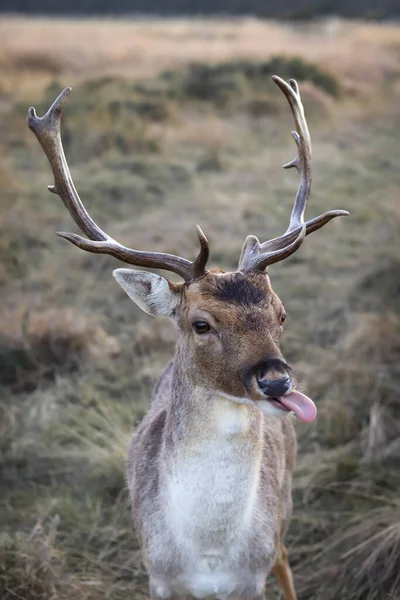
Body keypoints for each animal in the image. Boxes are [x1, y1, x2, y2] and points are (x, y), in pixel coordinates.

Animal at [27, 76, 346, 600]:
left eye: (281, 314)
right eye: (201, 323)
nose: (277, 381)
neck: (208, 555)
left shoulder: (251, 579)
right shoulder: (157, 574)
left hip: (287, 501)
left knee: (284, 555)